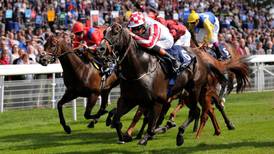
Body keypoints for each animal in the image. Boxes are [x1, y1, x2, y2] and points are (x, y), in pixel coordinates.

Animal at [98, 22, 227, 145]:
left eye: (115, 32)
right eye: (104, 32)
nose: (100, 49)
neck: (140, 69)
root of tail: (202, 56)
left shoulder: (158, 102)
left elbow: (151, 126)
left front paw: (153, 132)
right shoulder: (129, 100)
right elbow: (117, 119)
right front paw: (123, 136)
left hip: (195, 90)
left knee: (198, 110)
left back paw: (183, 135)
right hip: (190, 95)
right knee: (199, 111)